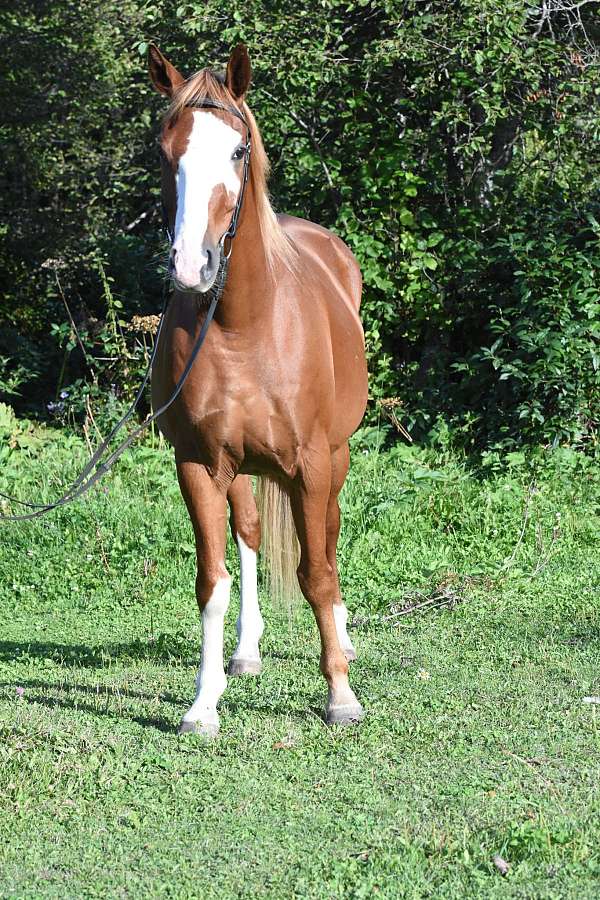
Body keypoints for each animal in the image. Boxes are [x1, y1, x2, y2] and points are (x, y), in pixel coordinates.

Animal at [148, 43, 368, 735]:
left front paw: (340, 695)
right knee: (248, 534)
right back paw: (244, 653)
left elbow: (316, 573)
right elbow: (212, 581)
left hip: (334, 459)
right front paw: (203, 703)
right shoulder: (197, 463)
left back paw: (343, 642)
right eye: (165, 151)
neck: (245, 323)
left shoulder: (311, 464)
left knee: (328, 538)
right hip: (240, 466)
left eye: (239, 150)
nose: (191, 265)